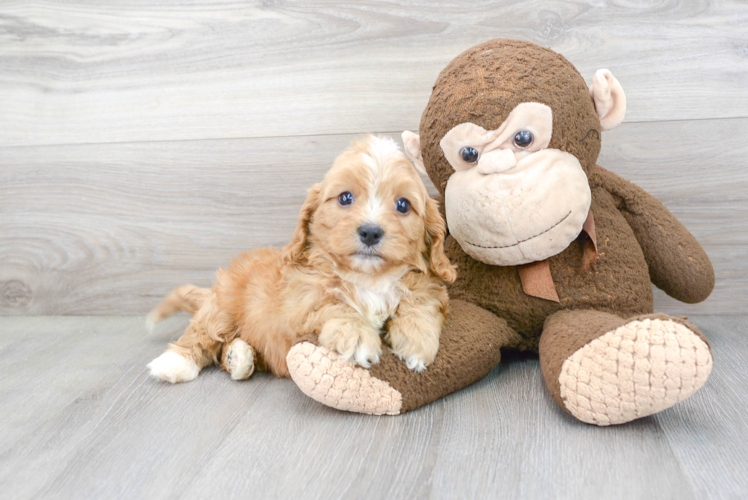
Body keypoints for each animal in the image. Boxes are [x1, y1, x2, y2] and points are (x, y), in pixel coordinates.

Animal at [144, 135, 452, 384]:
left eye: (403, 205)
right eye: (345, 198)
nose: (370, 231)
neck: (368, 278)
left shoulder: (427, 286)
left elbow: (419, 301)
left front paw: (416, 341)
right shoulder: (300, 303)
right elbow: (334, 305)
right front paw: (357, 336)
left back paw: (239, 357)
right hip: (224, 305)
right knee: (204, 332)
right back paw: (176, 362)